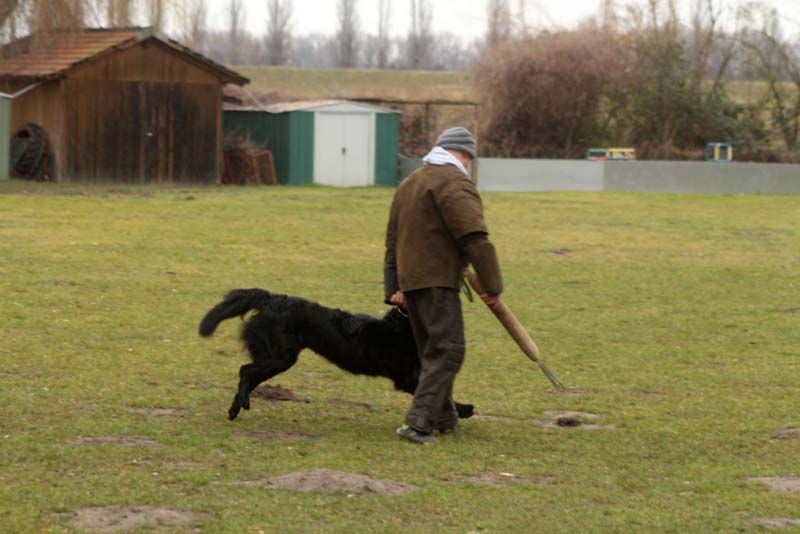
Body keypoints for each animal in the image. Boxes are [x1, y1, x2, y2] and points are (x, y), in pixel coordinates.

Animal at [200, 288, 476, 422]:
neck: (402, 324)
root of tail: (271, 298)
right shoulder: (406, 377)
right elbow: (441, 394)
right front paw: (463, 410)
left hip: (275, 358)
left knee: (248, 374)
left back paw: (235, 408)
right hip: (280, 357)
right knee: (245, 371)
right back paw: (242, 404)